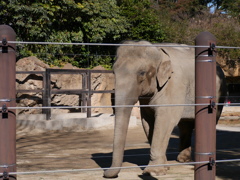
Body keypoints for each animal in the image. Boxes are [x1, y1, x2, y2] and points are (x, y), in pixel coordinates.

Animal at [103, 40, 227, 177]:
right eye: (114, 72)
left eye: (142, 73)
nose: (106, 173)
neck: (158, 50)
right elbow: (148, 122)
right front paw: (164, 168)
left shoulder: (174, 85)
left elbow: (165, 120)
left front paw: (152, 172)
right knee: (185, 125)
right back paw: (183, 160)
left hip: (219, 93)